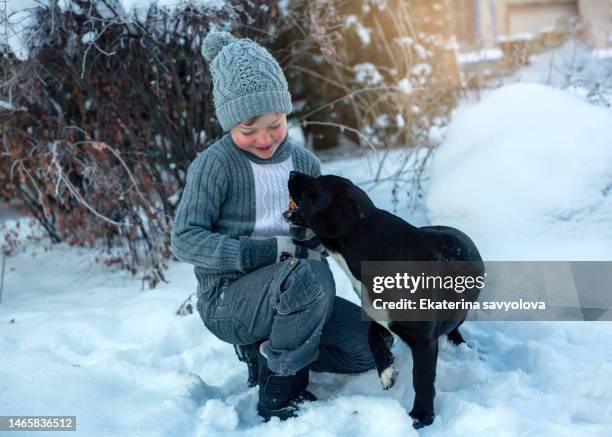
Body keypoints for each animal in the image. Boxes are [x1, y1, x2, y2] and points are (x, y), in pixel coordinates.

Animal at [286, 169, 482, 426]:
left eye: (317, 184)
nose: (292, 172)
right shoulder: (377, 317)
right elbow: (372, 339)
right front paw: (387, 373)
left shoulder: (423, 341)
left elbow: (422, 380)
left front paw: (422, 416)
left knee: (455, 326)